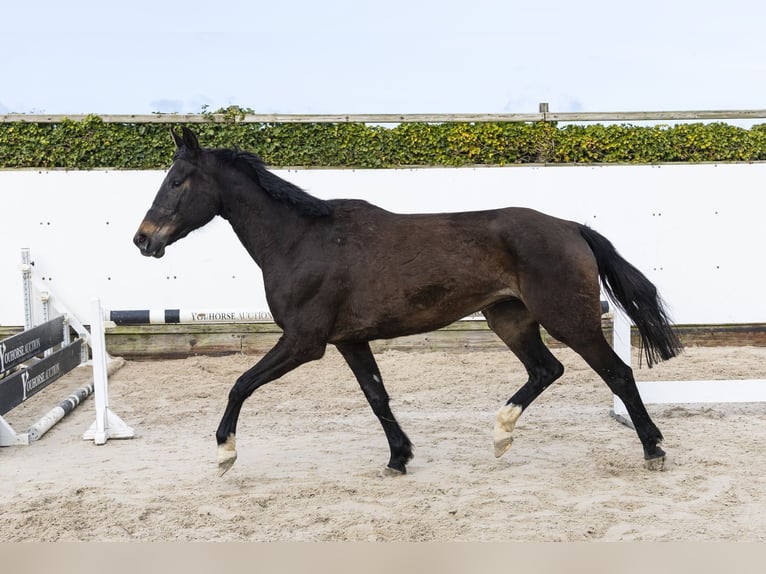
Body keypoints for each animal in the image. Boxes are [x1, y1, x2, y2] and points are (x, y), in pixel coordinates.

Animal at [133, 127, 682, 476]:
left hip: (570, 319)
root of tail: (571, 227)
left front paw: (225, 454)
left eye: (177, 180)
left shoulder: (304, 341)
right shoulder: (349, 341)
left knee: (617, 373)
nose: (143, 240)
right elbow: (377, 397)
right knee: (547, 370)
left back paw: (653, 450)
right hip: (509, 319)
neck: (301, 240)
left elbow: (240, 385)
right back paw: (501, 435)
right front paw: (398, 458)